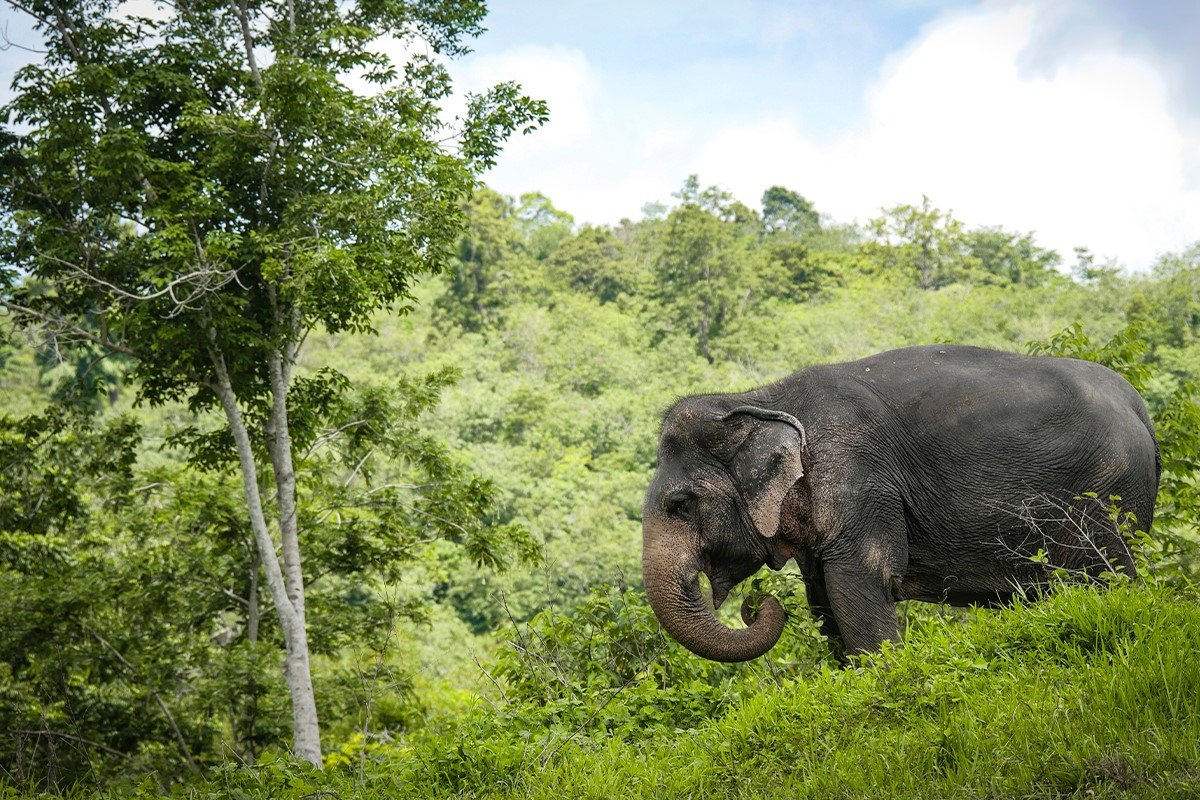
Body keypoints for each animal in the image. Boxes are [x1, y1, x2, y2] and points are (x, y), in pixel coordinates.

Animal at [641, 344, 1160, 662]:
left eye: (682, 503)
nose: (755, 606)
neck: (760, 398)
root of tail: (1139, 406)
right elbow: (822, 597)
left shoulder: (859, 476)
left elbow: (859, 583)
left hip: (1105, 492)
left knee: (1105, 575)